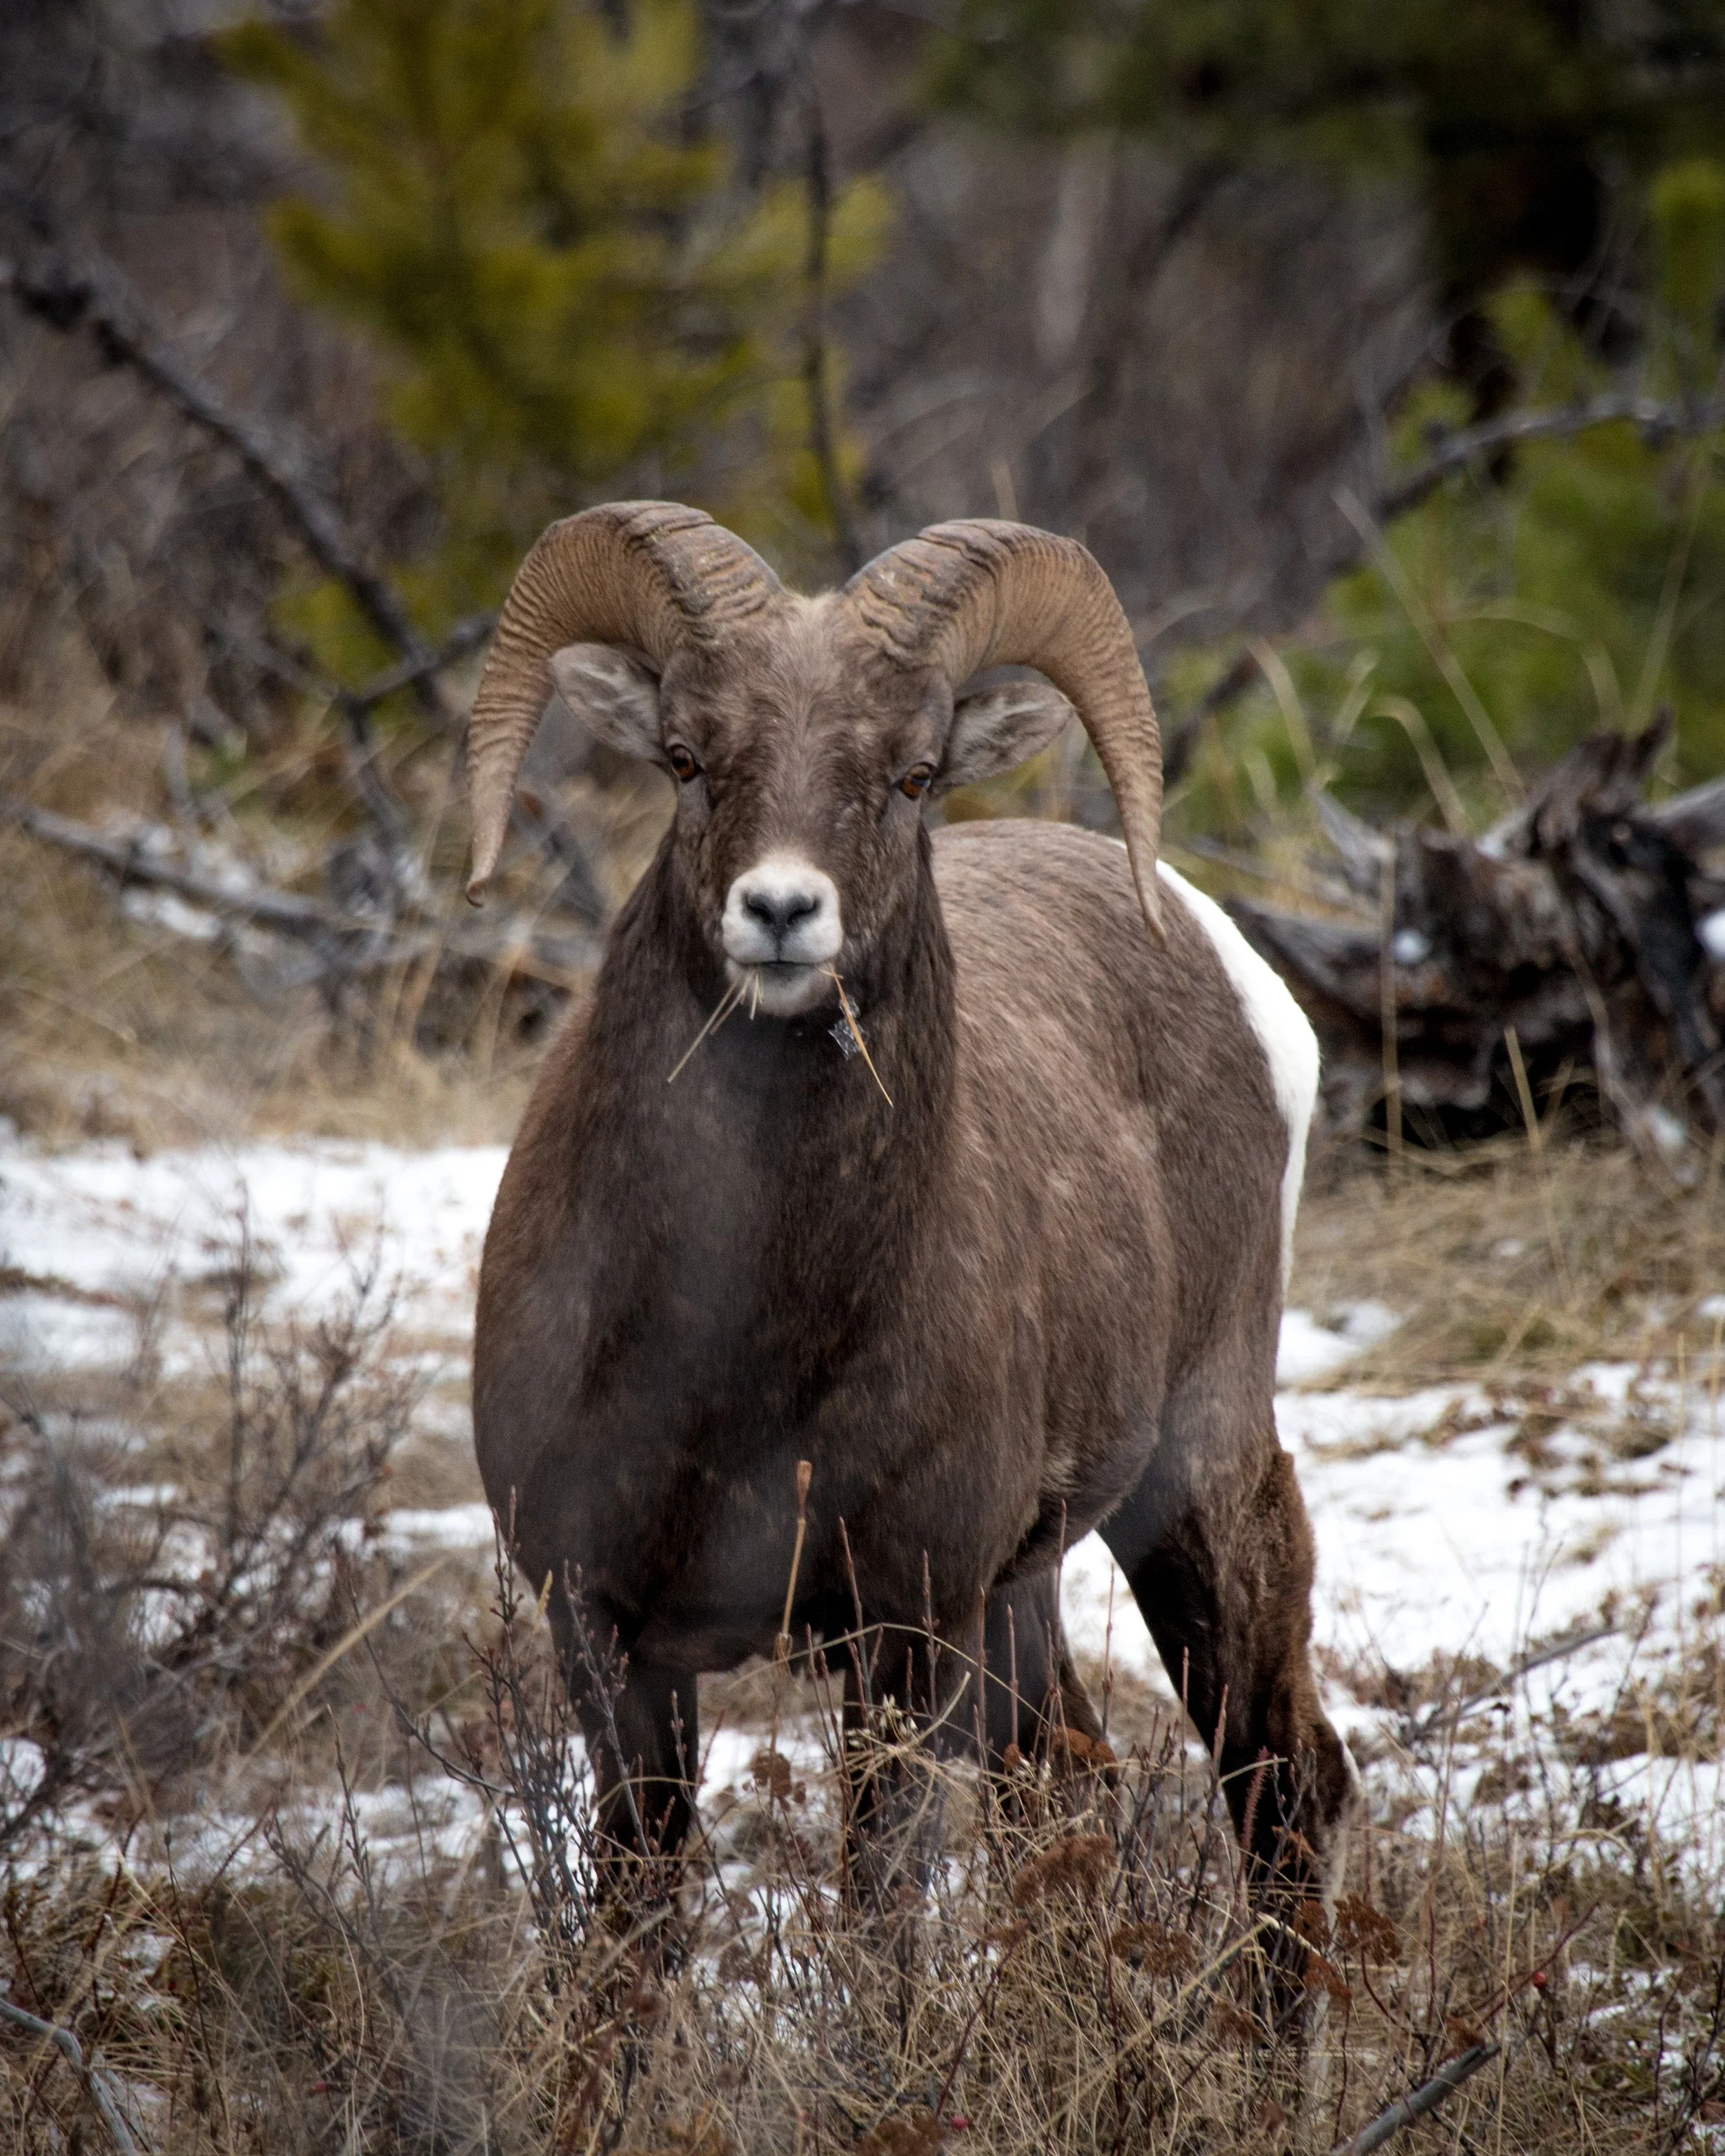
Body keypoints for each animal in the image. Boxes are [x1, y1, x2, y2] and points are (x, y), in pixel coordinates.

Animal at [467, 500, 1357, 1927]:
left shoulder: (904, 1634)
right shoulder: (605, 1634)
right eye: (687, 758)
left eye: (914, 774)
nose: (782, 912)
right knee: (1071, 1786)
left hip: (1194, 1488)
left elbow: (879, 1910)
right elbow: (636, 1913)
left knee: (1279, 1782)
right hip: (1026, 1592)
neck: (737, 1346)